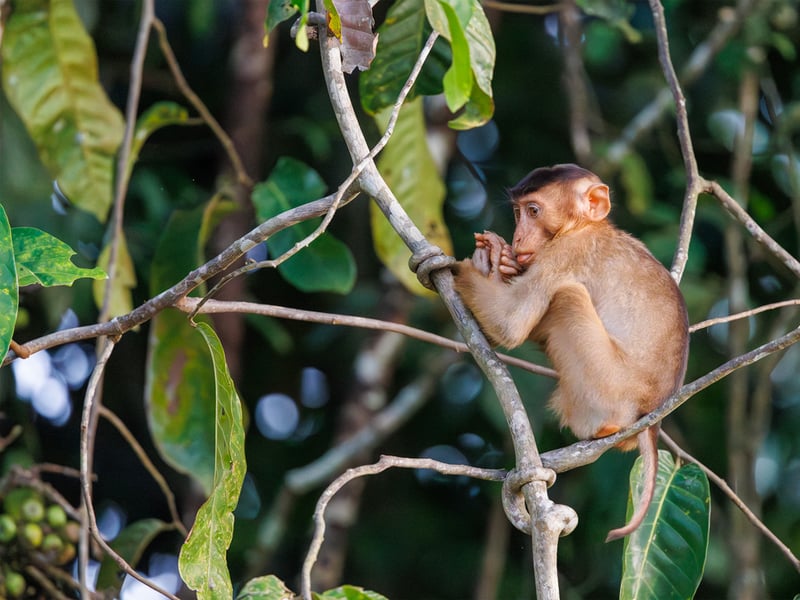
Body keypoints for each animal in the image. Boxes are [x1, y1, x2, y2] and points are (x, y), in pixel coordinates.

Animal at [453, 164, 689, 542]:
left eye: (534, 211)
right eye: (518, 213)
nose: (518, 239)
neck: (584, 226)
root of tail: (649, 420)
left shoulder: (565, 253)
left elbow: (510, 324)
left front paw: (466, 265)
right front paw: (499, 261)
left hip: (606, 386)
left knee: (568, 296)